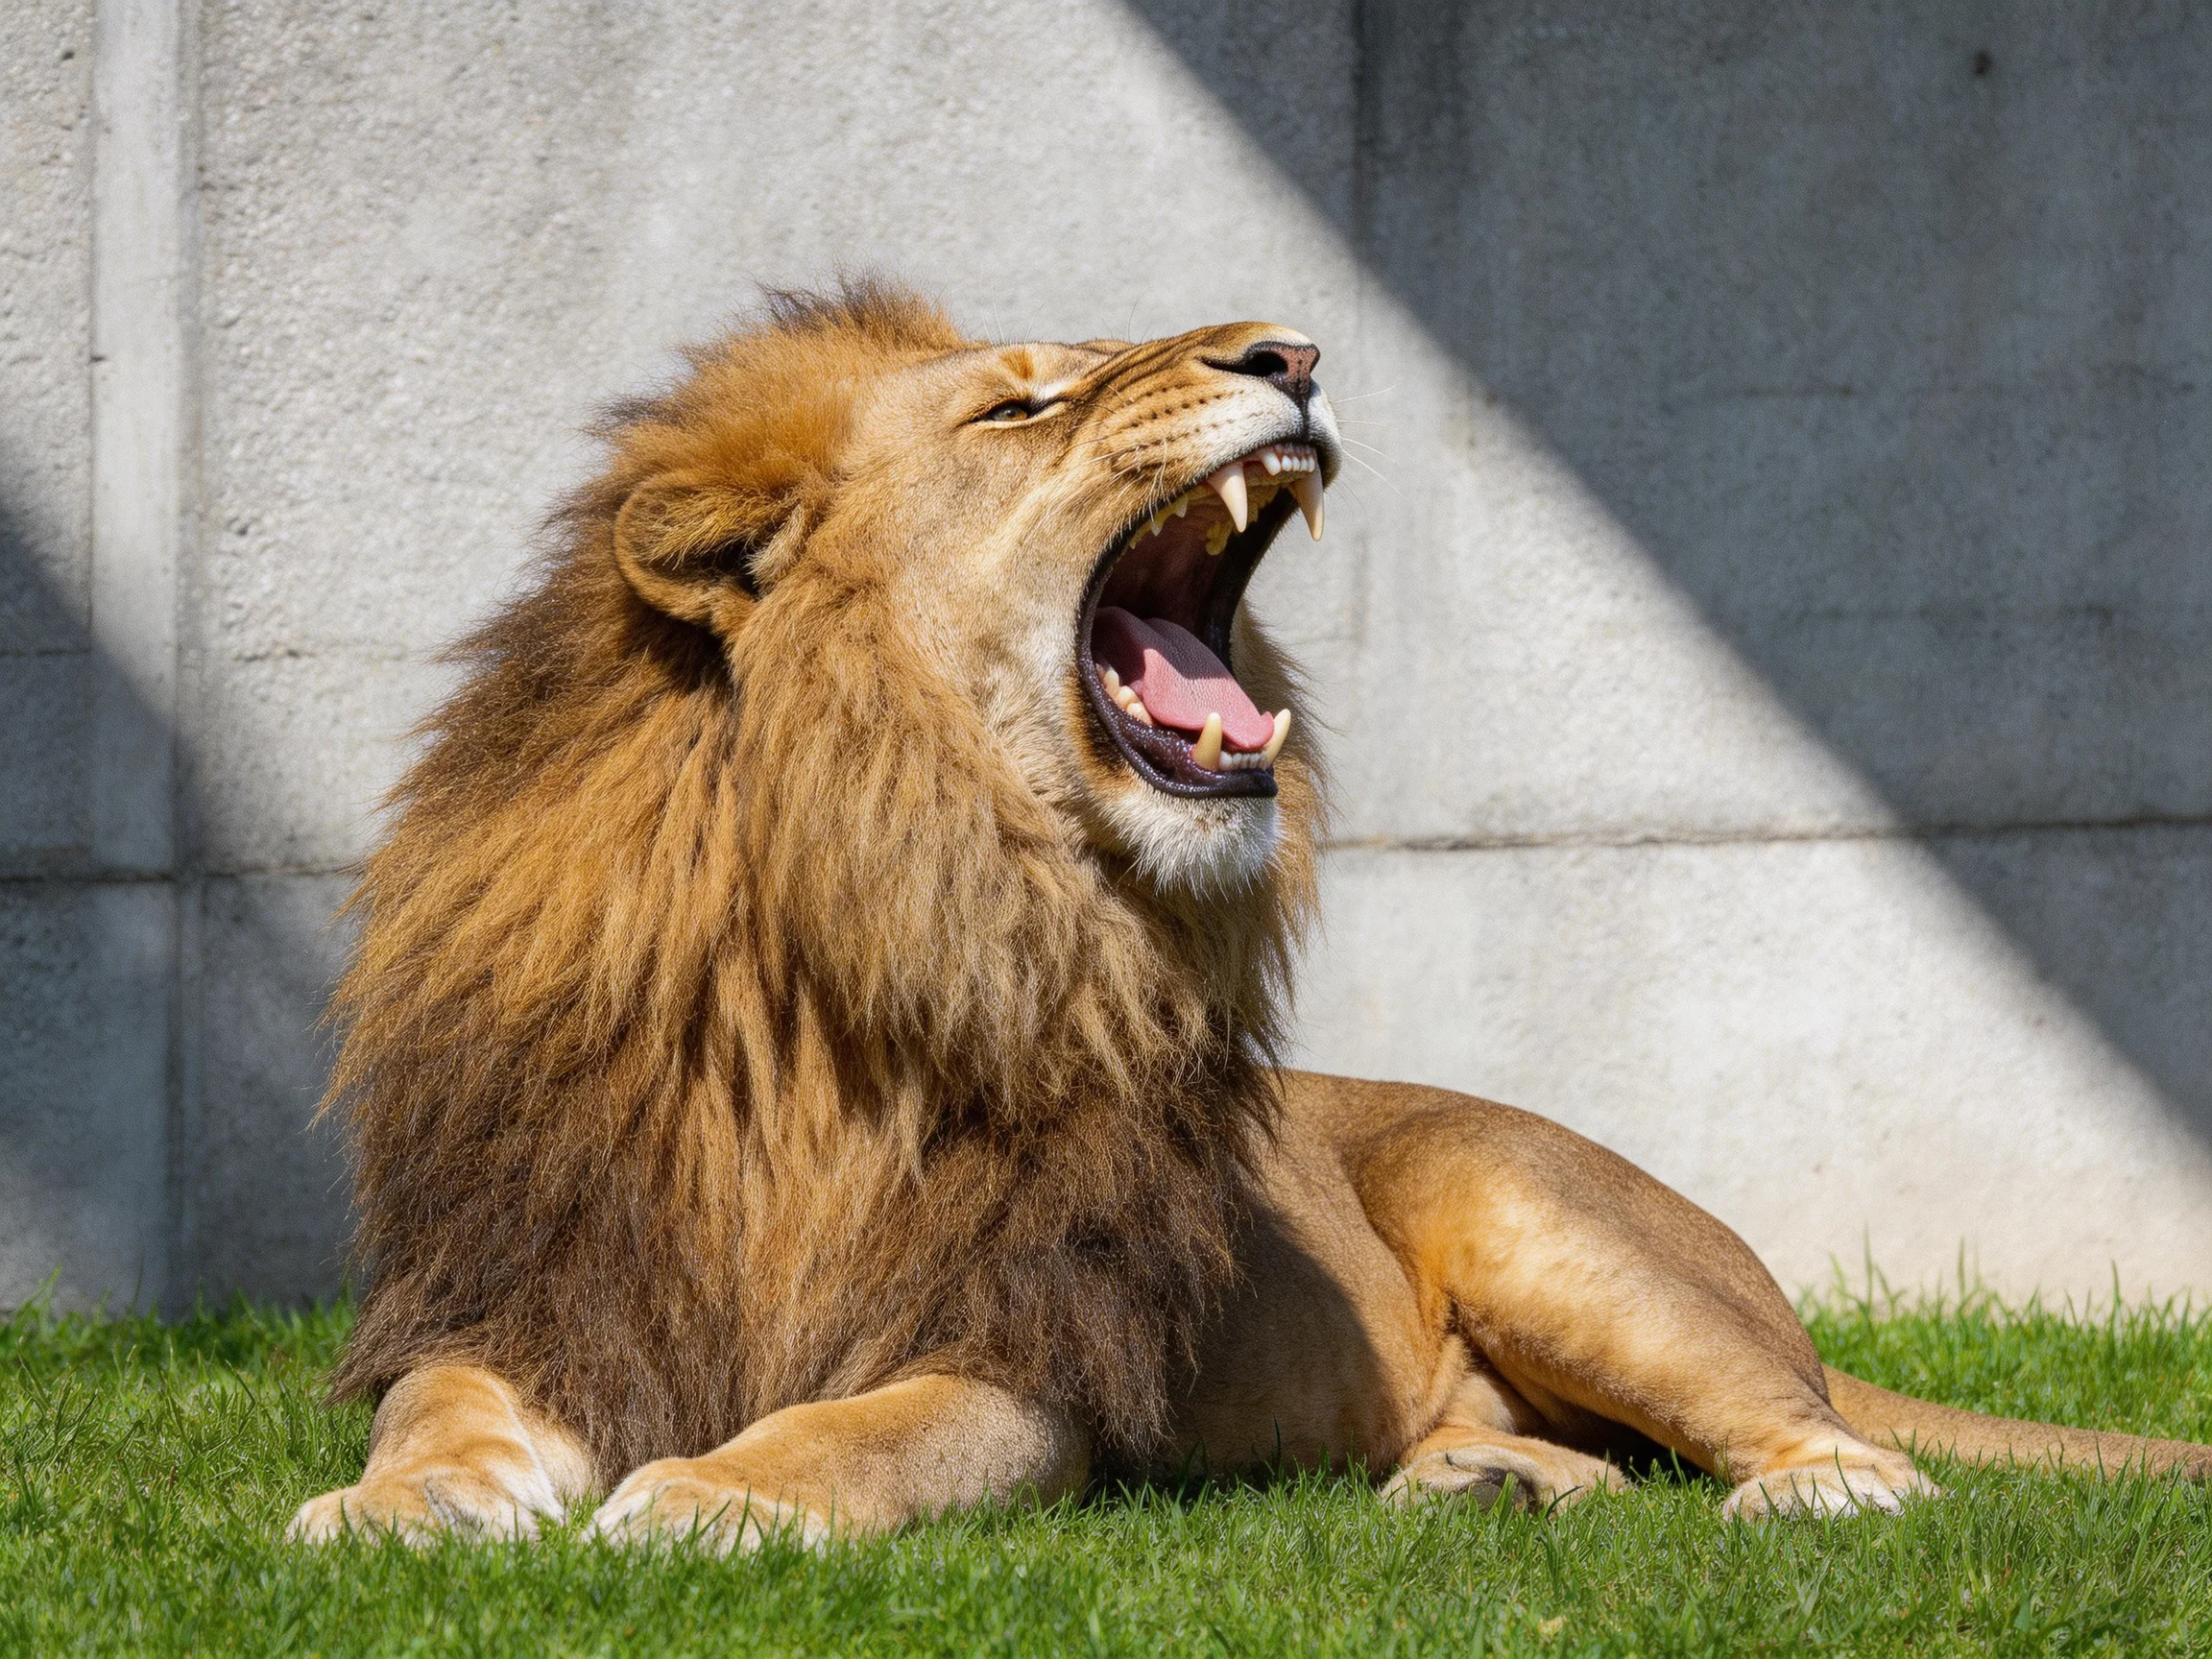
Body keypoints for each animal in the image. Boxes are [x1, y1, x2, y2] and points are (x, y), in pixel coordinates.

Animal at [291, 285, 2212, 1548]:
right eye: (1020, 407)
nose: (1291, 351)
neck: (852, 925)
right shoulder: (542, 1278)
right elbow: (435, 1407)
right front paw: (403, 1504)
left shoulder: (1023, 1354)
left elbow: (861, 1429)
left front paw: (710, 1483)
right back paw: (1487, 1477)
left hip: (1546, 1219)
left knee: (1830, 1446)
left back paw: (1812, 1493)